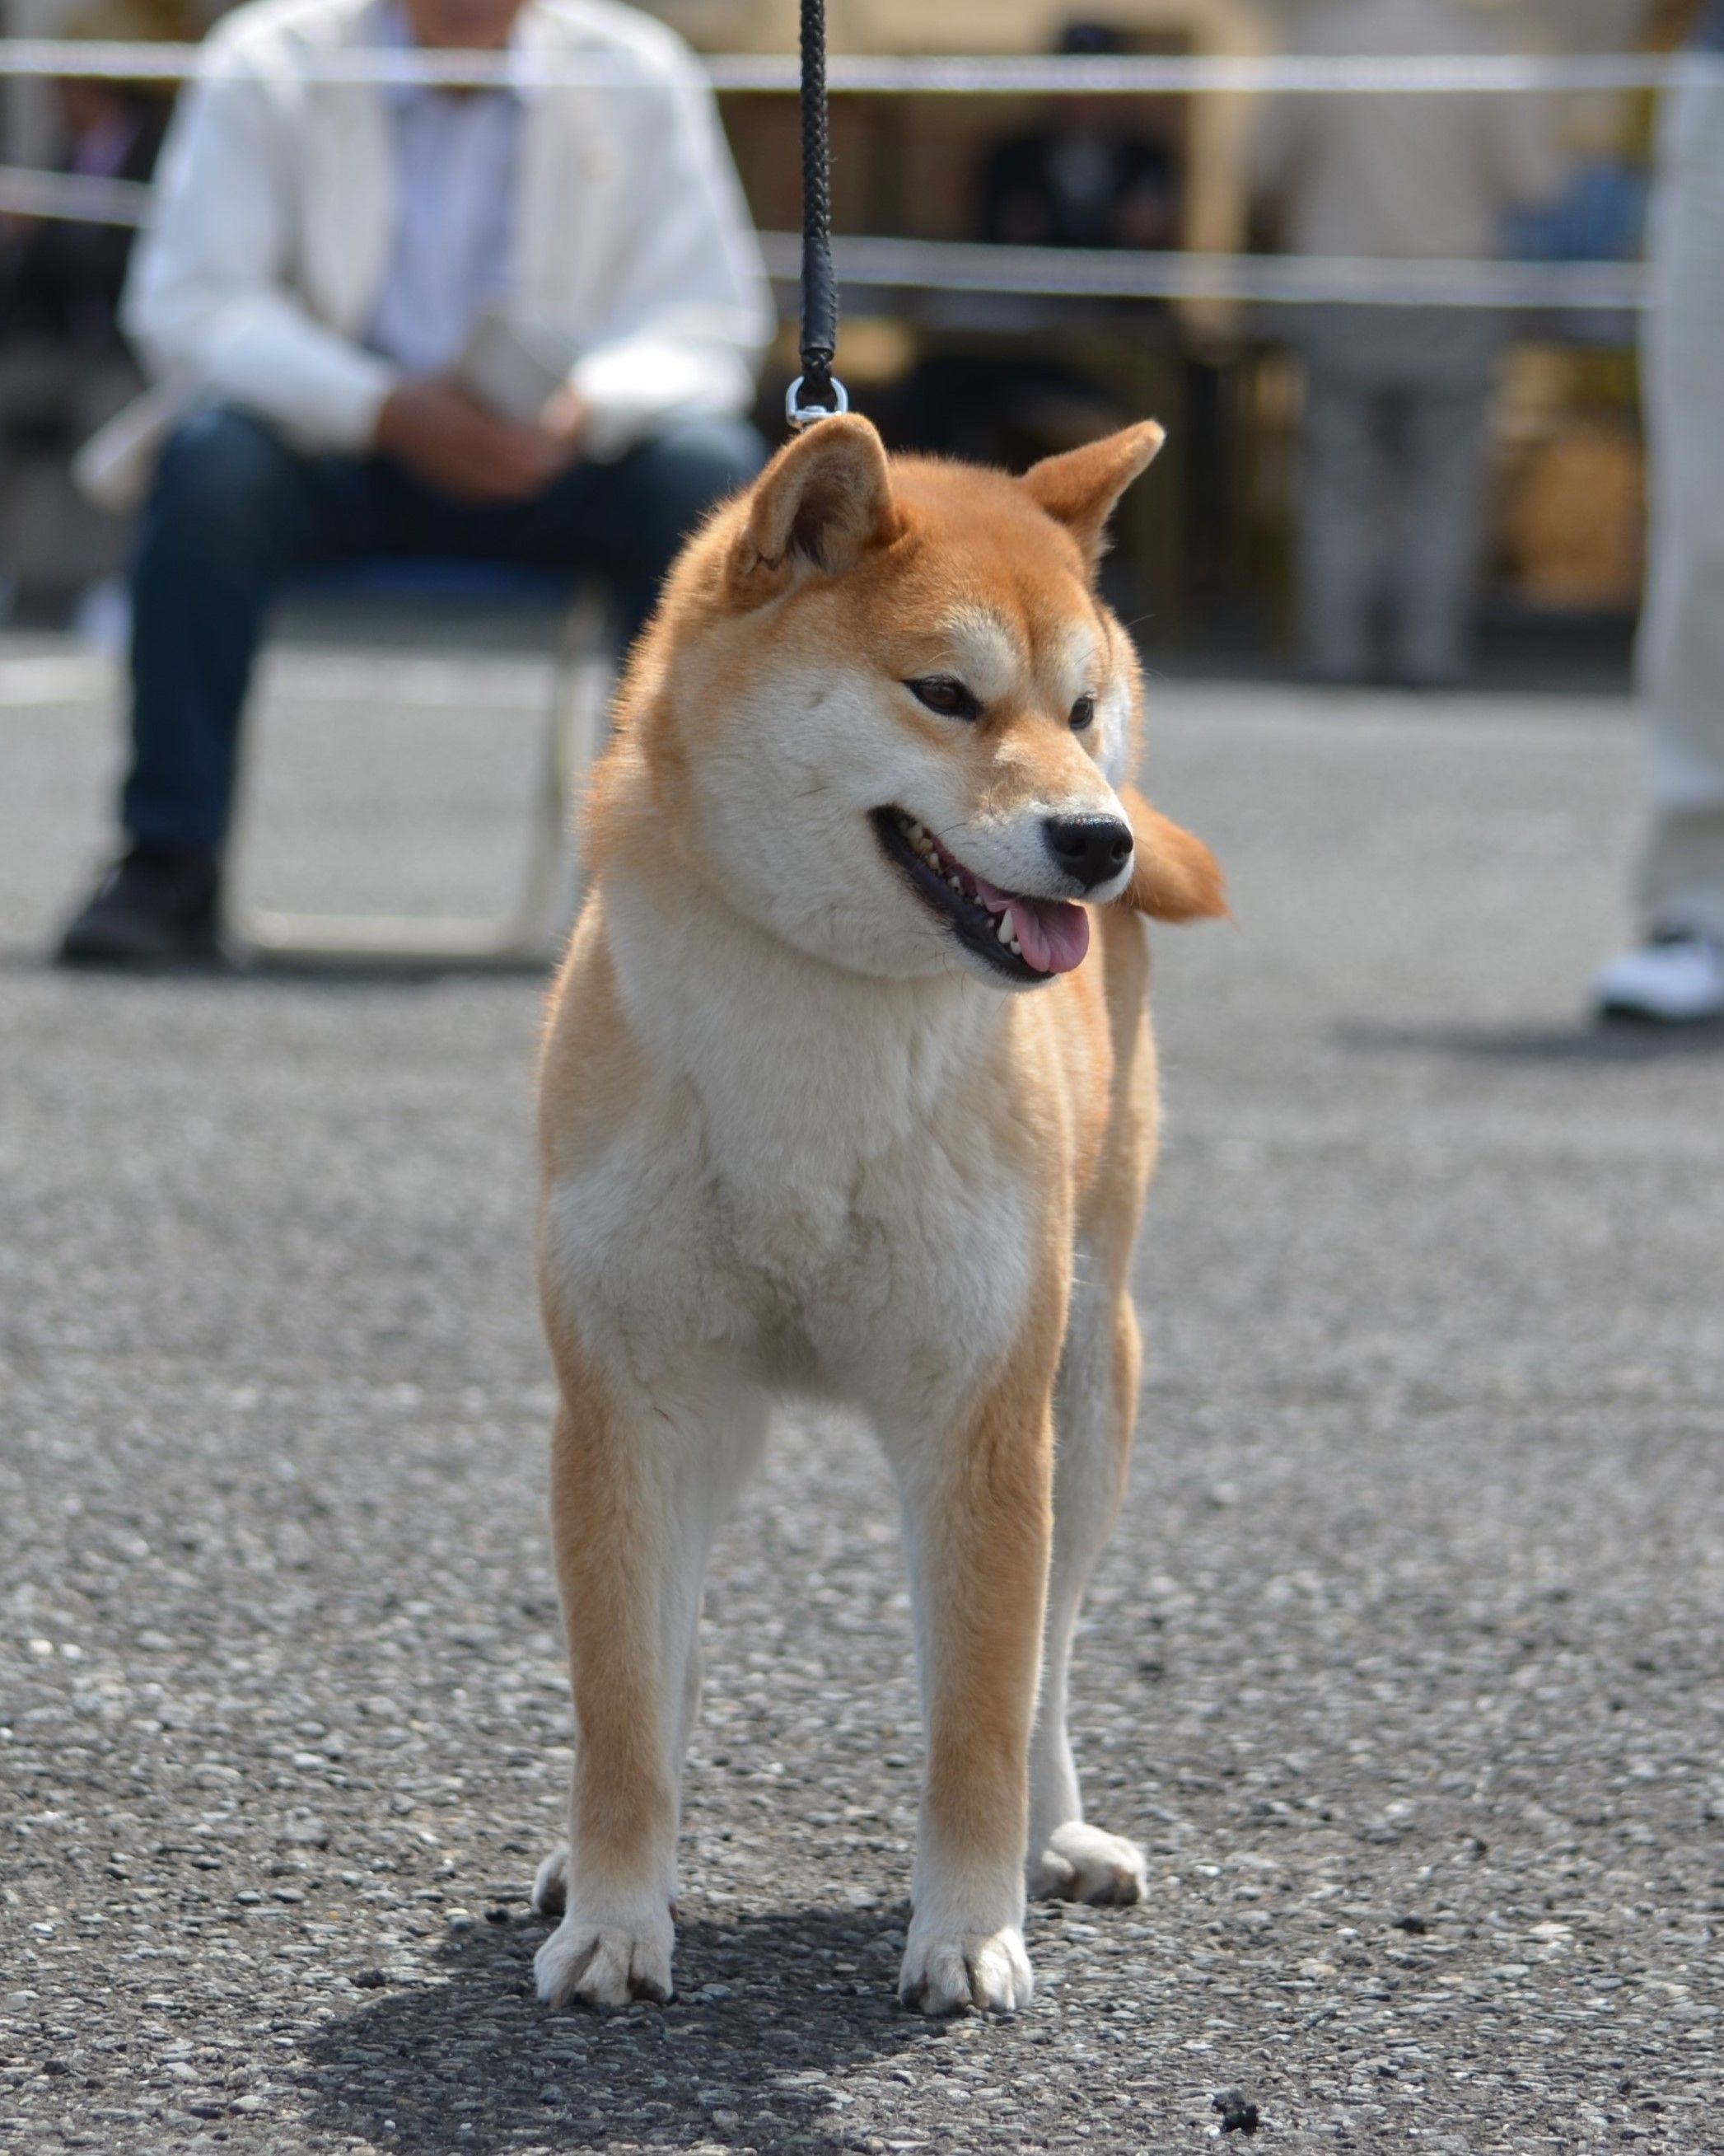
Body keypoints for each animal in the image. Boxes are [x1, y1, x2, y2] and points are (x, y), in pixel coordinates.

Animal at [532, 411, 1215, 2009]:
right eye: (946, 696)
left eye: (1078, 708)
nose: (1094, 841)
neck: (818, 1020)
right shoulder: (628, 1399)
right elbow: (620, 1701)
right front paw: (614, 1909)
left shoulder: (979, 1418)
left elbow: (977, 1714)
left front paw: (965, 1931)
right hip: (711, 1423)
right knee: (659, 1653)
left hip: (1085, 1385)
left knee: (1045, 1667)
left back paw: (1057, 1836)